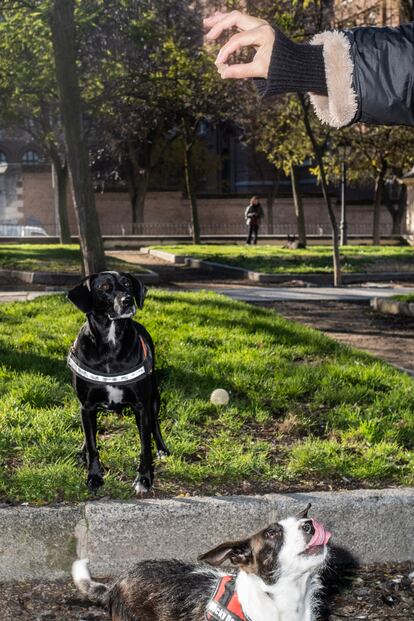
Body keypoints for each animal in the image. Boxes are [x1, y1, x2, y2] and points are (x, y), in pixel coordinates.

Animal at [67, 272, 169, 494]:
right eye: (104, 288)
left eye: (127, 284)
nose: (128, 300)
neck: (110, 343)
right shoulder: (87, 406)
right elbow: (93, 446)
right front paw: (94, 476)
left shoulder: (141, 406)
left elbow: (145, 446)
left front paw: (144, 479)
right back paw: (82, 451)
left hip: (154, 397)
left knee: (155, 424)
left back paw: (162, 448)